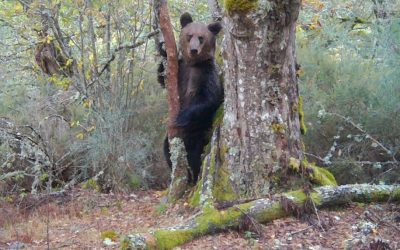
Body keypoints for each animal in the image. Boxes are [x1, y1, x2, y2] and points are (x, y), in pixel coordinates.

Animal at [158, 12, 223, 184]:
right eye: (189, 36)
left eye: (201, 37)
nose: (193, 50)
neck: (193, 64)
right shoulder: (180, 70)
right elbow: (161, 79)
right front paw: (163, 50)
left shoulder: (207, 74)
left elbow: (210, 99)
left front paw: (180, 117)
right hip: (173, 139)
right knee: (167, 148)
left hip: (200, 131)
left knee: (195, 154)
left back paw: (192, 177)